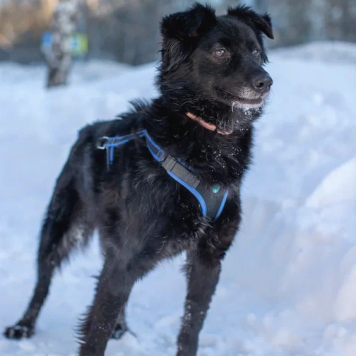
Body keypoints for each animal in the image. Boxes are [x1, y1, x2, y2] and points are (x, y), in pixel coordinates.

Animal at [4, 3, 274, 356]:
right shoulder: (127, 255)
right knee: (43, 281)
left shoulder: (208, 258)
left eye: (255, 51)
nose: (266, 82)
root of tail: (87, 130)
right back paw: (23, 326)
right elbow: (97, 330)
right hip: (61, 228)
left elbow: (191, 327)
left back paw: (121, 326)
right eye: (220, 51)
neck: (208, 144)